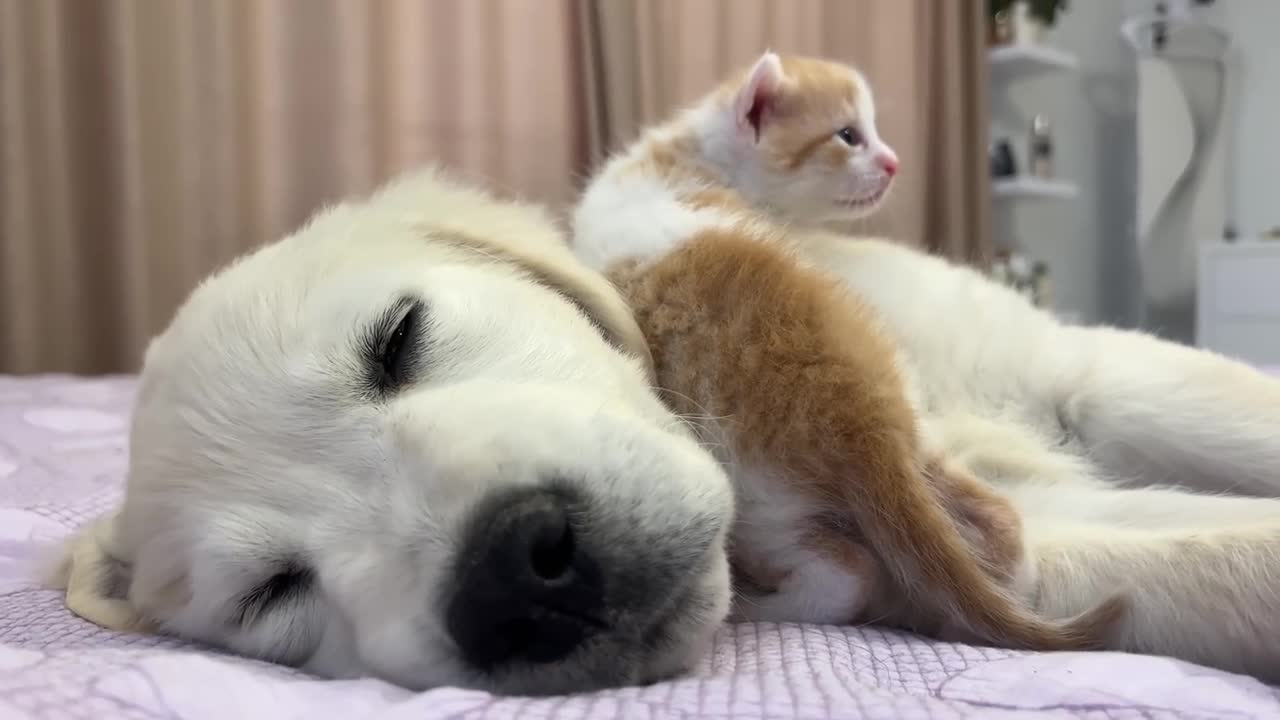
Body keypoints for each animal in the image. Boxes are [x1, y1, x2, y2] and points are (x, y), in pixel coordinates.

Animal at [570, 49, 1121, 645]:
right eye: (849, 135)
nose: (894, 162)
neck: (692, 150)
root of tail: (864, 416)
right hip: (917, 435)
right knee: (1001, 520)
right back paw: (1005, 574)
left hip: (757, 495)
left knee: (846, 575)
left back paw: (757, 606)